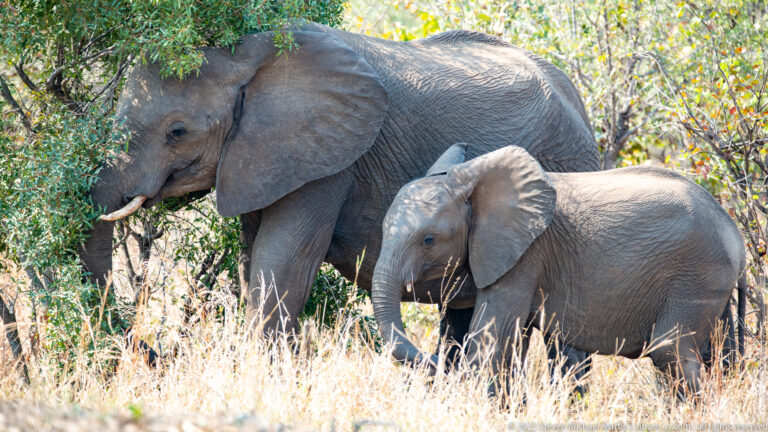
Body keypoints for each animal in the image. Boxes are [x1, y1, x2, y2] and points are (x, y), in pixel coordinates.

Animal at [79, 22, 601, 361]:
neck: (250, 55)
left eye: (177, 132)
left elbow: (283, 259)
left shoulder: (330, 160)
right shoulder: (263, 159)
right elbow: (254, 258)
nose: (155, 352)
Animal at [371, 143, 747, 397]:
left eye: (428, 240)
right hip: (710, 285)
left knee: (671, 353)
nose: (438, 361)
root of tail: (736, 236)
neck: (472, 178)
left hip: (697, 277)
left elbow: (490, 339)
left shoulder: (526, 254)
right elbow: (511, 345)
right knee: (714, 356)